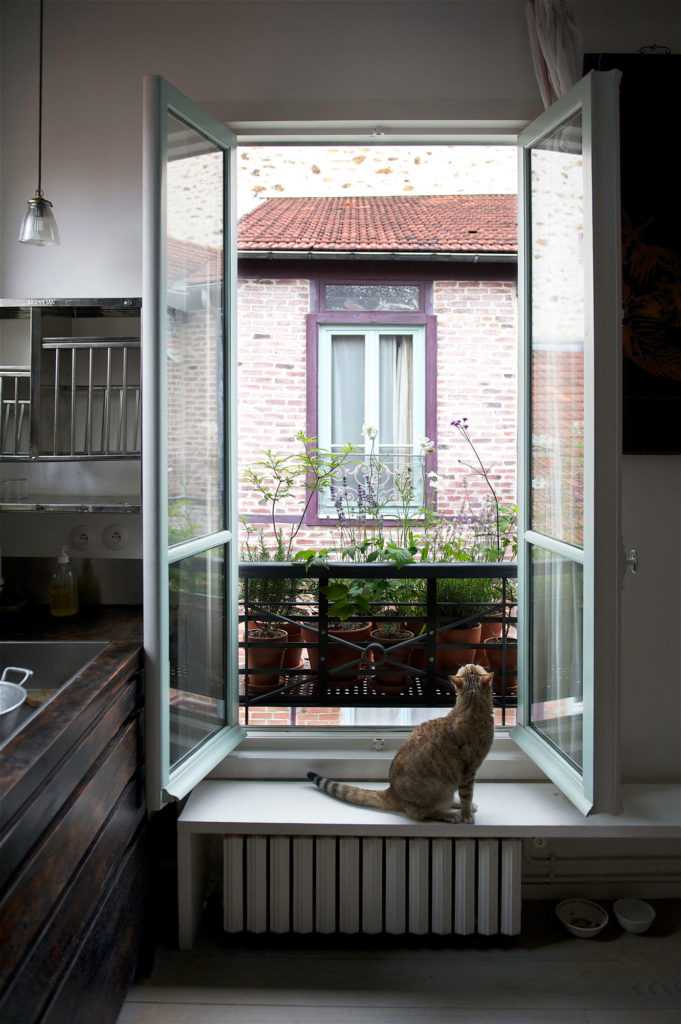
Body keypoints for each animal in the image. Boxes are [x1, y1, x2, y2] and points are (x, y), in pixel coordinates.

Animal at [307, 663, 493, 823]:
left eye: (473, 666)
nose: (468, 662)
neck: (470, 706)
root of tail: (392, 791)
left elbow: (465, 796)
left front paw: (466, 810)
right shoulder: (468, 771)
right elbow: (466, 795)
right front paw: (466, 816)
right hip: (440, 791)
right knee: (423, 813)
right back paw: (450, 814)